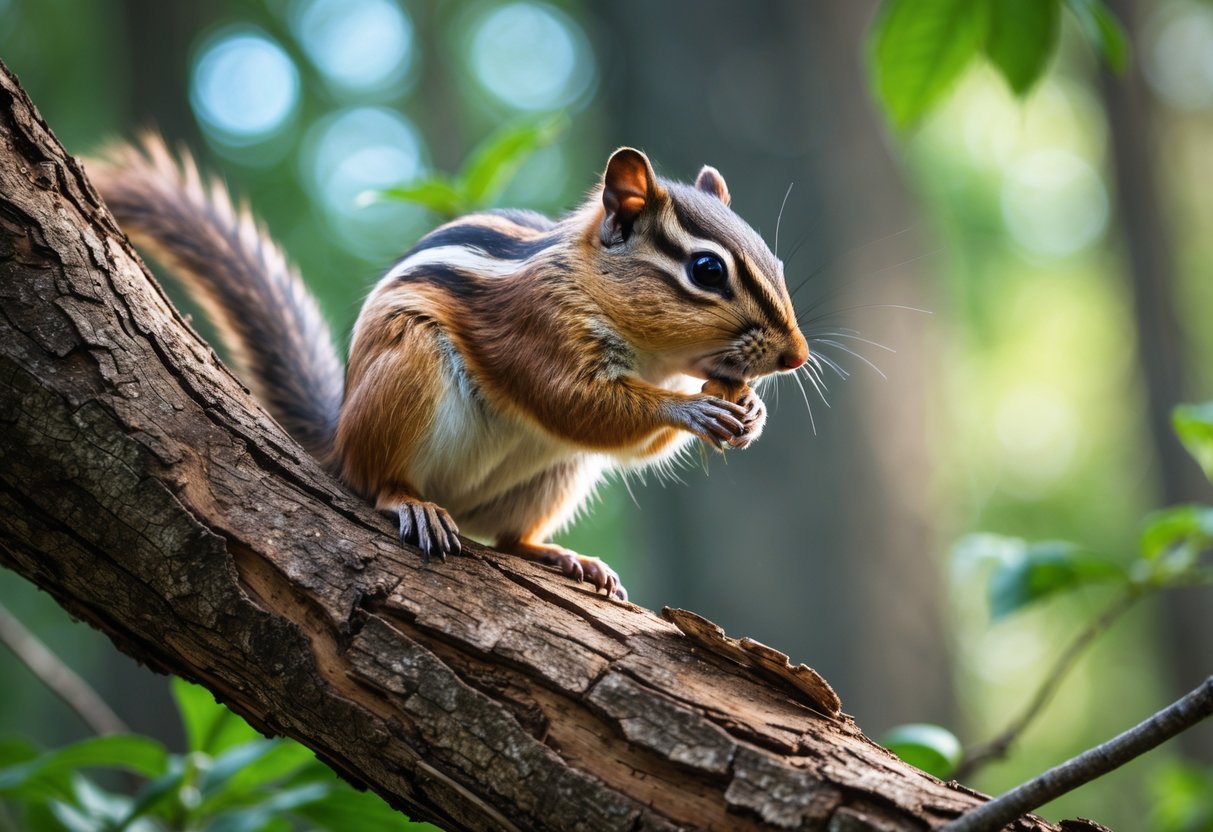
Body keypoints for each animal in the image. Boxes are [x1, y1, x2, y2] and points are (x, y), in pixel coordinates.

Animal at [89, 135, 809, 601]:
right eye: (707, 270)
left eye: (776, 262)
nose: (796, 357)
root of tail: (339, 435)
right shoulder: (536, 331)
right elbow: (573, 403)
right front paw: (693, 407)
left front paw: (750, 411)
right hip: (408, 372)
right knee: (374, 481)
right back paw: (409, 502)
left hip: (556, 475)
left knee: (511, 539)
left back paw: (564, 558)